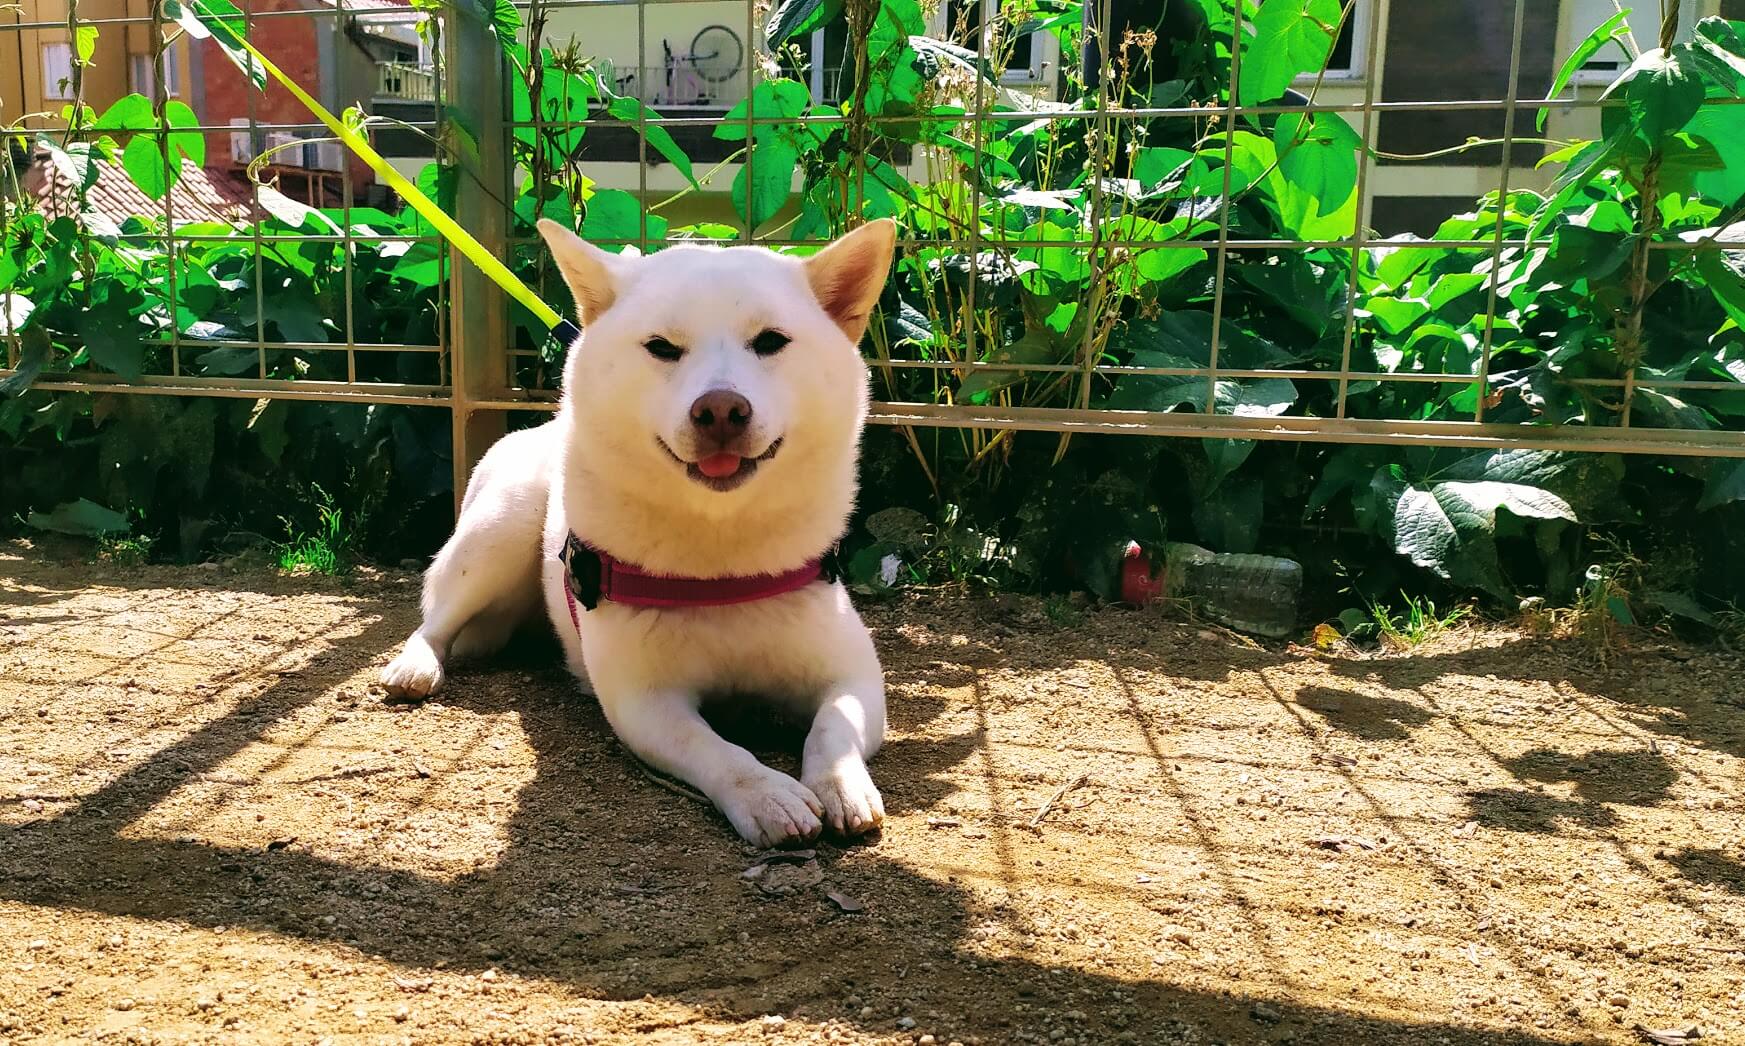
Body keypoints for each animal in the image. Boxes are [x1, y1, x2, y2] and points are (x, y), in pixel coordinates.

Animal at [380, 219, 896, 848]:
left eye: (771, 341)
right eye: (662, 348)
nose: (720, 409)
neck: (721, 559)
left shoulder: (853, 674)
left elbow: (832, 729)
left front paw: (841, 784)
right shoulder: (645, 702)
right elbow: (718, 751)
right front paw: (768, 794)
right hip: (498, 532)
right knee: (436, 619)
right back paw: (416, 664)